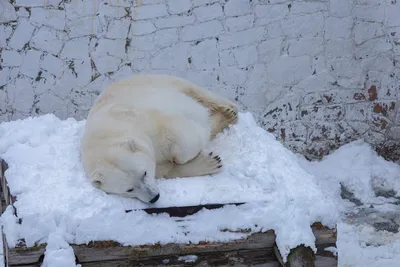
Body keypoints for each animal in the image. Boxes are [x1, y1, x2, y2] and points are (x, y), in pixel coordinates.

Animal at [81, 74, 238, 204]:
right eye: (129, 189)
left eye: (144, 173)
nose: (154, 197)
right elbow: (168, 170)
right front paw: (210, 161)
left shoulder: (149, 121)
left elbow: (181, 140)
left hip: (163, 83)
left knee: (198, 93)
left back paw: (228, 113)